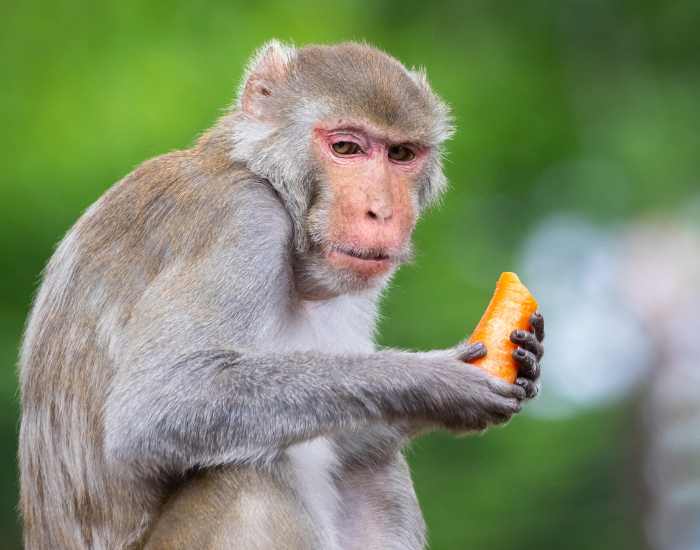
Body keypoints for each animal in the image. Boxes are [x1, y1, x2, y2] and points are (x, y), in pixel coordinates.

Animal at [18, 41, 544, 550]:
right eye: (347, 147)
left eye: (400, 154)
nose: (381, 212)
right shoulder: (243, 220)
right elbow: (160, 406)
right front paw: (430, 383)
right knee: (246, 472)